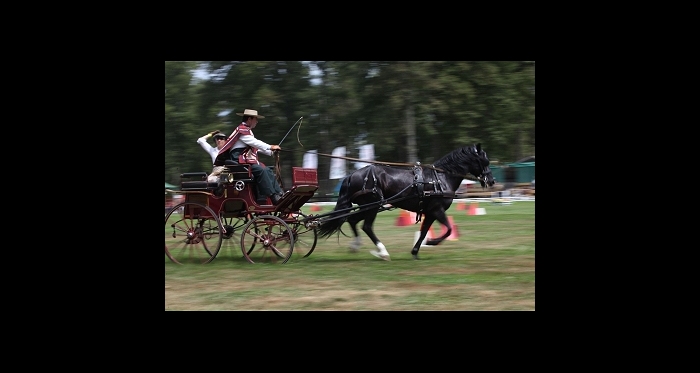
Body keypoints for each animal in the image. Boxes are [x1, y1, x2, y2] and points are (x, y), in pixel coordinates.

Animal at [314, 142, 494, 258]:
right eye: (484, 161)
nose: (491, 181)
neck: (441, 178)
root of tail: (352, 175)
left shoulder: (430, 212)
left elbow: (423, 232)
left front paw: (416, 250)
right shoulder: (437, 210)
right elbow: (448, 229)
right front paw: (432, 242)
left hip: (367, 206)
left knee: (352, 220)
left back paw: (355, 245)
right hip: (372, 206)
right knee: (366, 226)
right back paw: (382, 251)